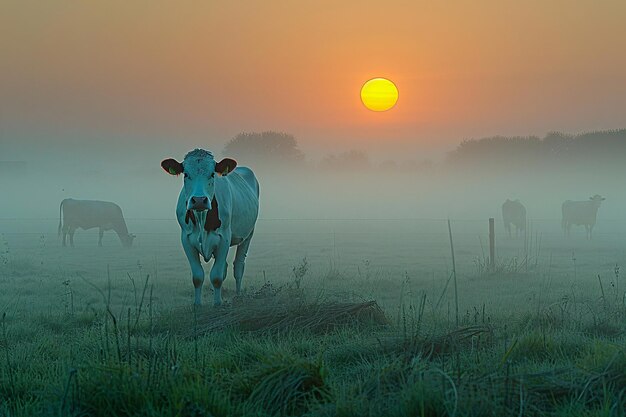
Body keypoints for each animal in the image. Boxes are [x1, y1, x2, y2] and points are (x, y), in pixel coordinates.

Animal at [162, 148, 260, 304]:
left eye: (212, 174)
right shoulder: (186, 240)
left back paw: (238, 294)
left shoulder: (224, 239)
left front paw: (217, 303)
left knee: (238, 266)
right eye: (186, 174)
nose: (199, 200)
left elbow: (217, 276)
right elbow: (198, 276)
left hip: (248, 234)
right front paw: (197, 304)